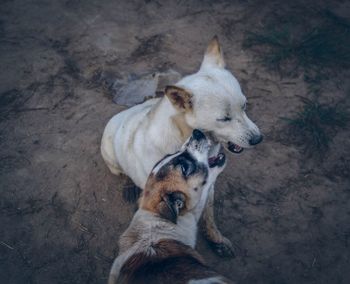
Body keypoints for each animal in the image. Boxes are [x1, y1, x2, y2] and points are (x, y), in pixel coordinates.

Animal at [101, 35, 262, 255]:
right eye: (224, 118)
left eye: (244, 106)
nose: (258, 138)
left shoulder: (209, 186)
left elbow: (209, 217)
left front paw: (217, 240)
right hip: (112, 160)